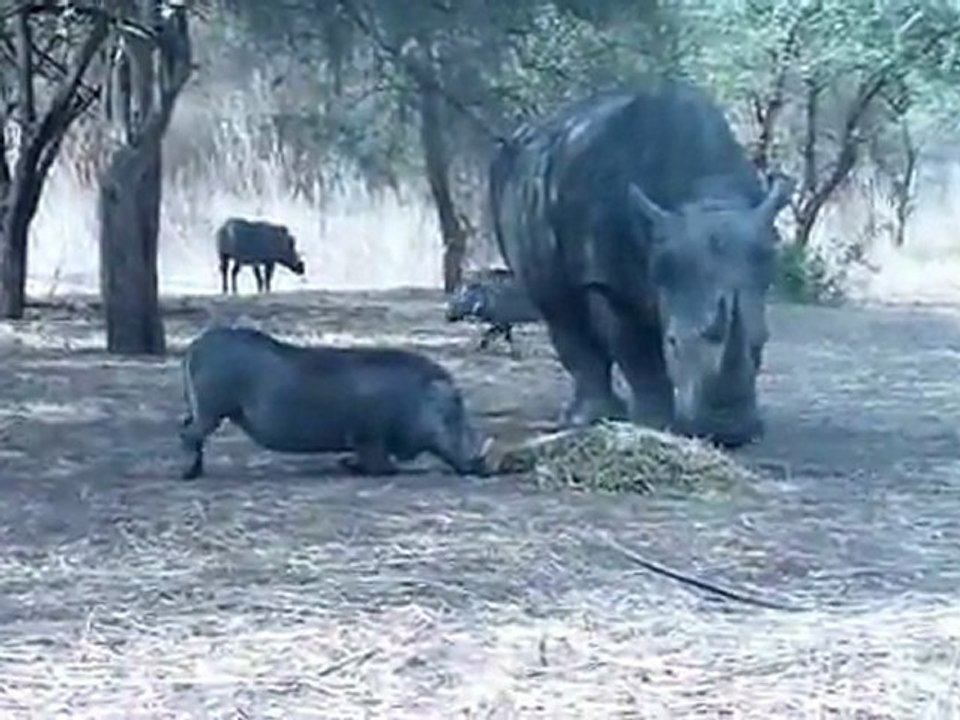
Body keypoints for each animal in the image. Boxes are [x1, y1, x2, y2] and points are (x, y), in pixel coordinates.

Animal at [178, 326, 489, 479]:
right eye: (455, 408)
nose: (485, 468)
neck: (417, 396)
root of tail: (196, 345)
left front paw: (345, 463)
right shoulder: (370, 437)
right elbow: (383, 466)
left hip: (205, 410)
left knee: (187, 429)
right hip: (212, 410)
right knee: (188, 434)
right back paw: (189, 474)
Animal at [489, 80, 794, 447]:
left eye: (763, 341)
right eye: (673, 342)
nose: (727, 433)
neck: (703, 195)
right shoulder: (606, 277)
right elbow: (635, 350)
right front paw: (655, 425)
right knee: (557, 305)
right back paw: (590, 417)